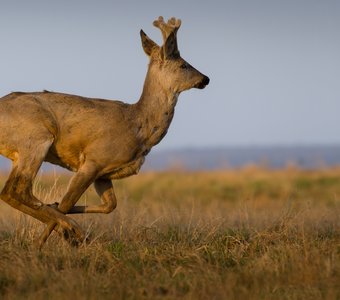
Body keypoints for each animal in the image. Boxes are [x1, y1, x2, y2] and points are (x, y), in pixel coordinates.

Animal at [0, 15, 210, 247]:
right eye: (183, 64)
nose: (206, 79)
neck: (139, 126)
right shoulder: (93, 160)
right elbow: (66, 203)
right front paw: (48, 240)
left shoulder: (104, 173)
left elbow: (110, 205)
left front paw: (54, 217)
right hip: (36, 139)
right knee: (15, 190)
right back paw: (74, 230)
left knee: (12, 191)